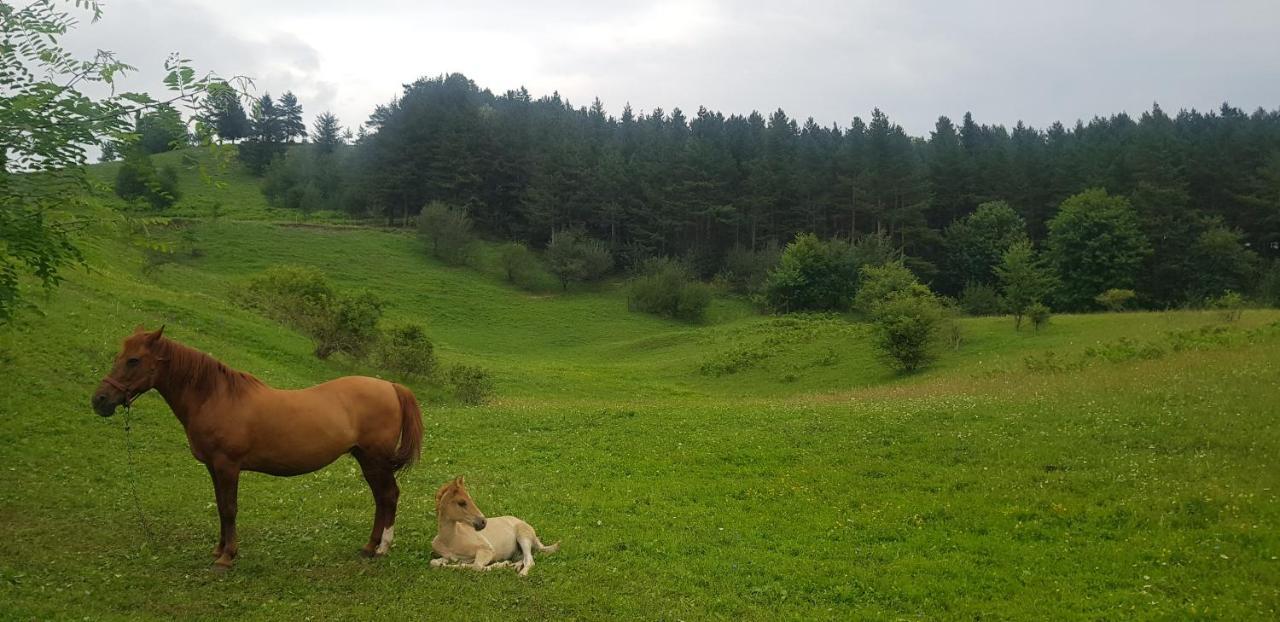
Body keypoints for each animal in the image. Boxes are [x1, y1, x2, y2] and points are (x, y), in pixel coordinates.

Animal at [91, 327, 419, 570]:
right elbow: (221, 508)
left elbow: (229, 508)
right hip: (366, 459)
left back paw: (382, 548)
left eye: (133, 360)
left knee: (388, 496)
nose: (100, 400)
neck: (216, 397)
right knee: (380, 499)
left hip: (375, 459)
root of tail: (391, 386)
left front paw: (226, 558)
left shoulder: (227, 465)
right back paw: (369, 547)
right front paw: (219, 550)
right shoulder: (213, 467)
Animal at [430, 478, 560, 575]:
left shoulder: (487, 550)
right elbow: (434, 562)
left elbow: (475, 566)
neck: (451, 540)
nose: (483, 522)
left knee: (529, 560)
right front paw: (442, 564)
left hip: (523, 536)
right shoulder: (447, 556)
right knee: (523, 557)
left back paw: (521, 573)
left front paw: (501, 564)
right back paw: (515, 565)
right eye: (461, 502)